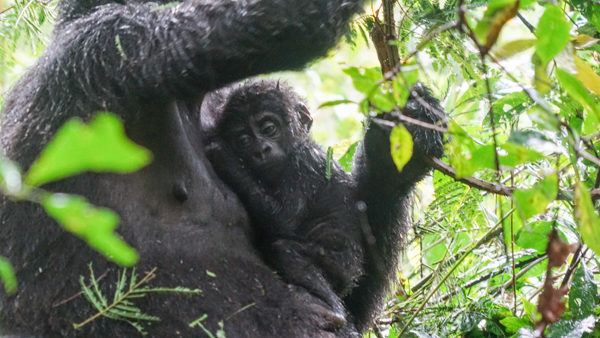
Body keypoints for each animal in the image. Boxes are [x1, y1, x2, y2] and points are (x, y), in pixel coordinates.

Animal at [206, 80, 364, 326]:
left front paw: (225, 158)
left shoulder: (302, 164)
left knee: (285, 249)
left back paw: (333, 311)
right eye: (243, 140)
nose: (261, 150)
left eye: (269, 128)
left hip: (340, 265)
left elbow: (285, 219)